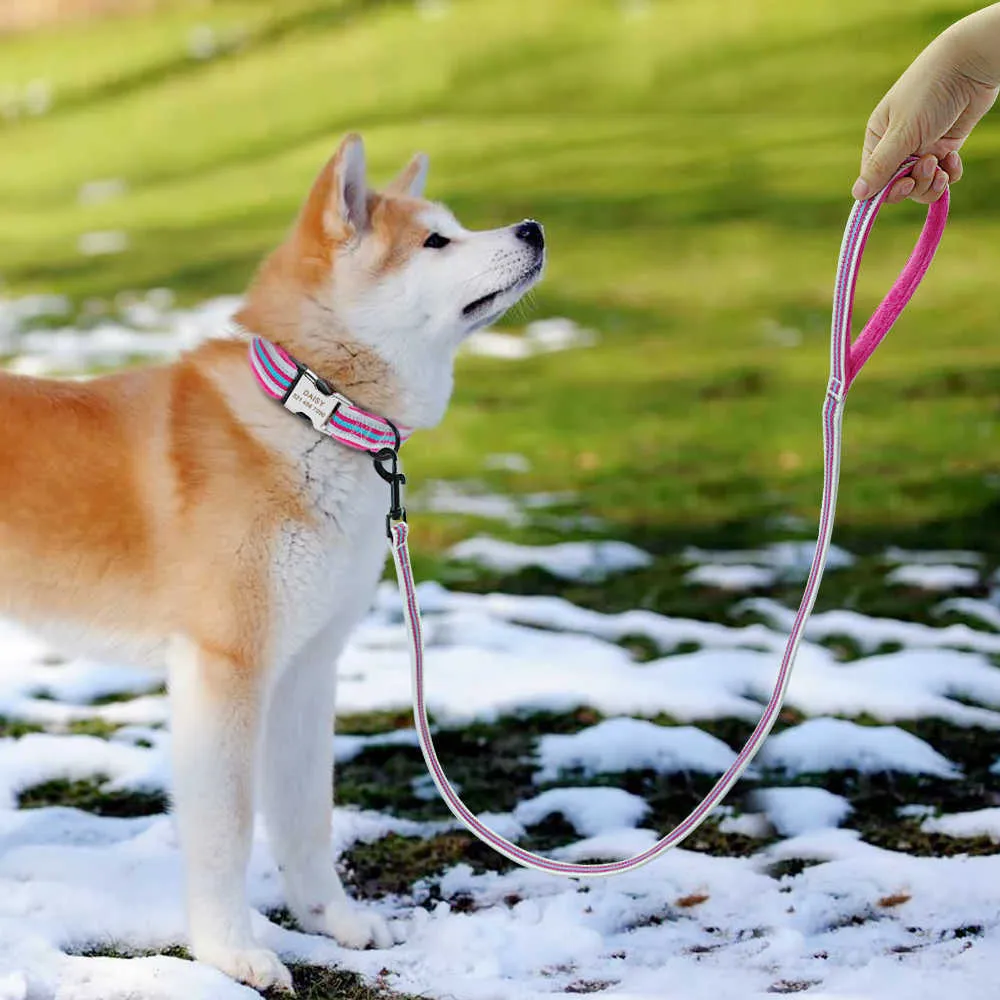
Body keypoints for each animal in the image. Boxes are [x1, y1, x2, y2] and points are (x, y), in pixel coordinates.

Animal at [0, 135, 548, 992]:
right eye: (436, 241)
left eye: (455, 227)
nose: (532, 229)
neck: (310, 412)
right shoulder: (226, 667)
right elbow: (228, 829)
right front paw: (230, 953)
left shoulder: (306, 669)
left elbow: (305, 818)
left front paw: (332, 921)